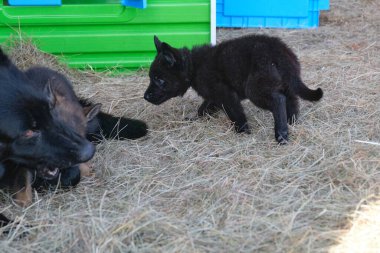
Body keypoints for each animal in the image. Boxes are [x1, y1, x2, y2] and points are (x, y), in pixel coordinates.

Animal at [144, 34, 322, 143]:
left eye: (159, 79)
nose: (145, 96)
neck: (193, 66)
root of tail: (280, 51)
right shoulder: (213, 96)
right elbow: (204, 108)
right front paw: (195, 119)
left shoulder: (226, 94)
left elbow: (236, 113)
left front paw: (242, 131)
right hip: (286, 84)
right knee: (292, 99)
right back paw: (292, 122)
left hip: (255, 89)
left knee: (278, 100)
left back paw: (281, 135)